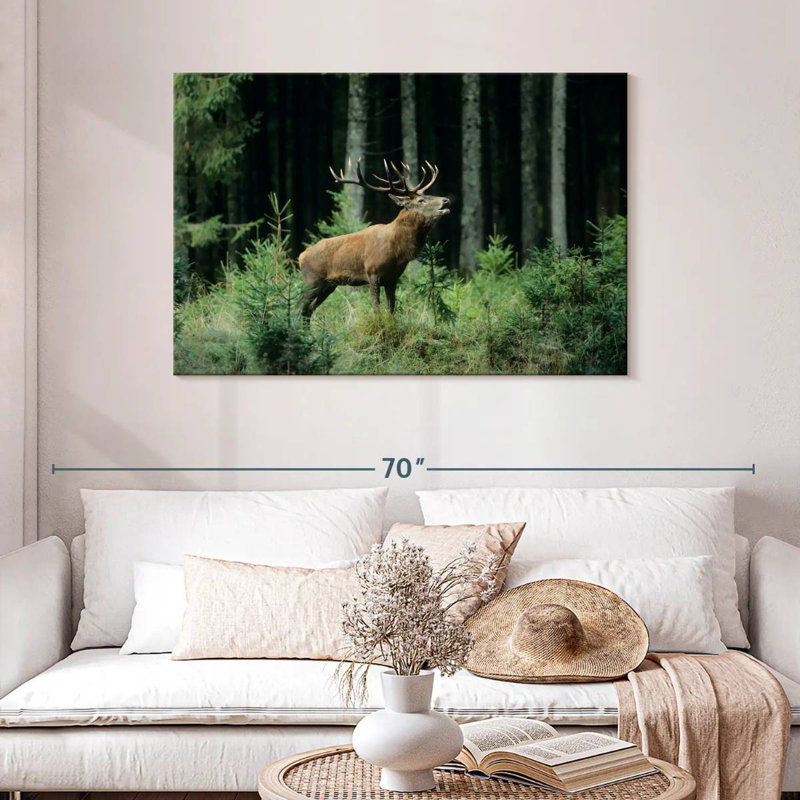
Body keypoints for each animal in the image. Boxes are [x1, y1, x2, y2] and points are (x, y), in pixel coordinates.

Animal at [298, 159, 450, 319]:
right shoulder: (373, 272)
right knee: (300, 307)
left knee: (309, 309)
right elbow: (377, 308)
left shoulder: (393, 279)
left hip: (329, 285)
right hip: (312, 280)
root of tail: (301, 256)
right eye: (421, 200)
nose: (446, 200)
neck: (398, 251)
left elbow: (391, 309)